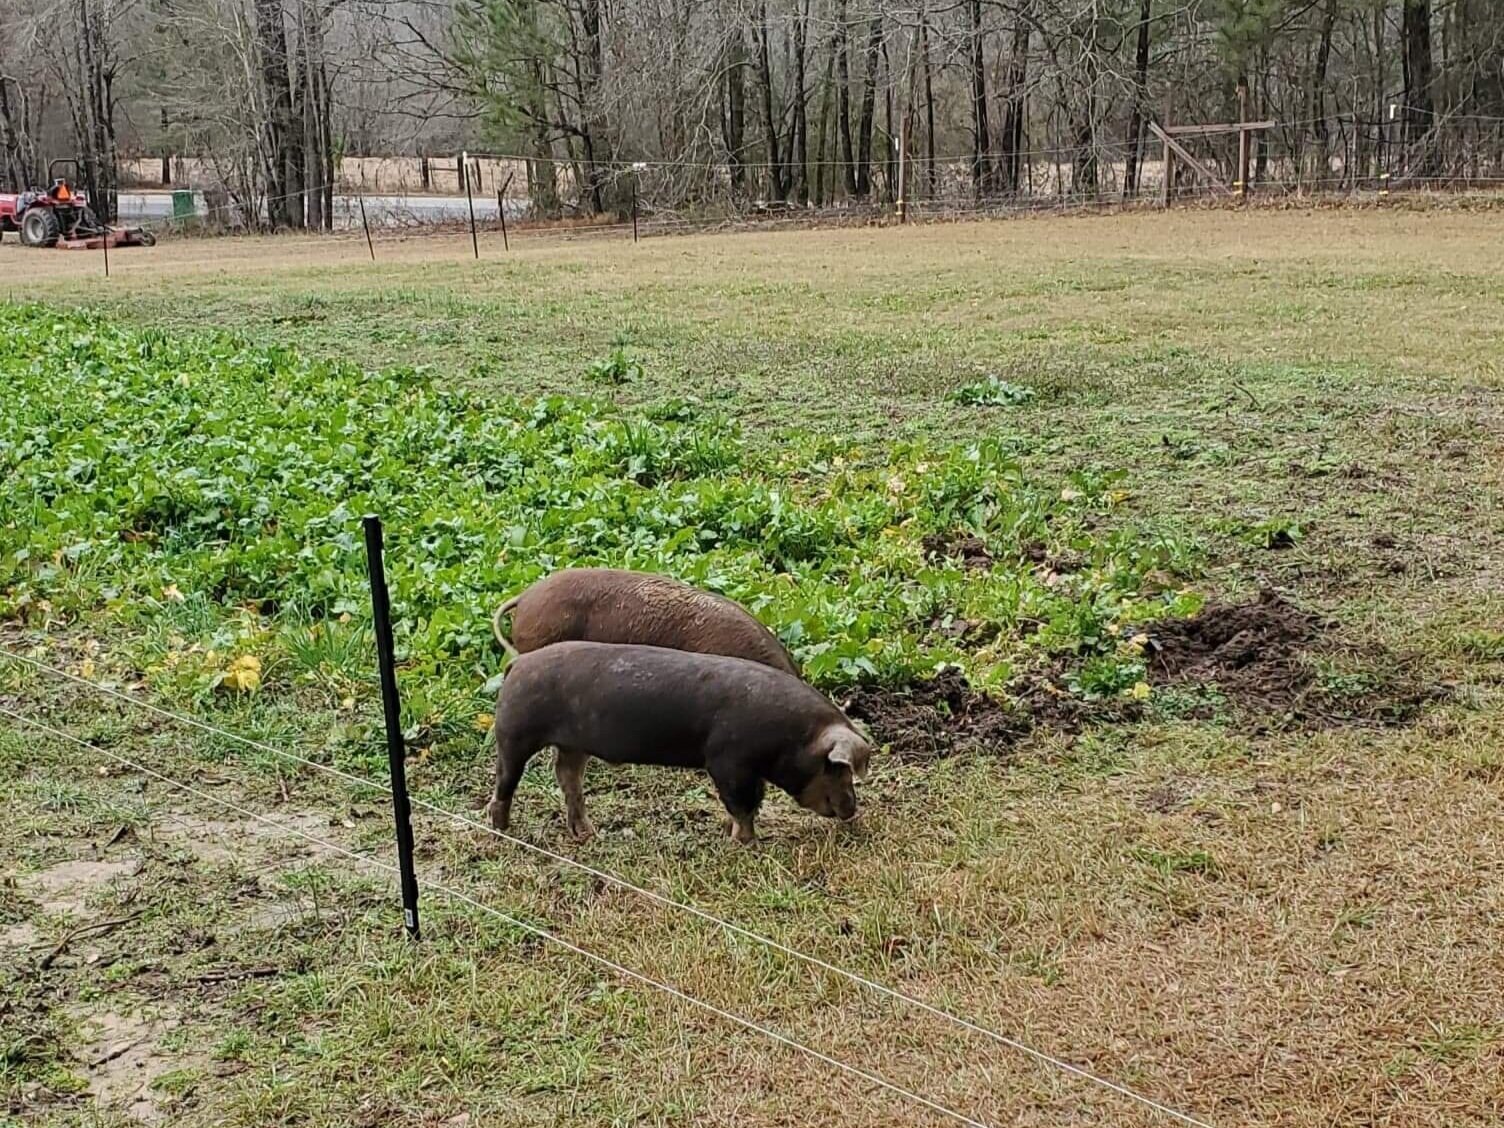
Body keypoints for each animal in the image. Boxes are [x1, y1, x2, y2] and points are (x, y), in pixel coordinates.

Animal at [486, 641, 871, 844]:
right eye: (836, 769)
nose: (853, 809)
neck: (791, 737)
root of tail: (518, 663)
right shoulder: (728, 762)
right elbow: (743, 805)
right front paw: (746, 844)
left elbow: (749, 804)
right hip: (514, 732)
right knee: (506, 780)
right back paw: (503, 830)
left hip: (571, 745)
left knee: (568, 778)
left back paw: (587, 834)